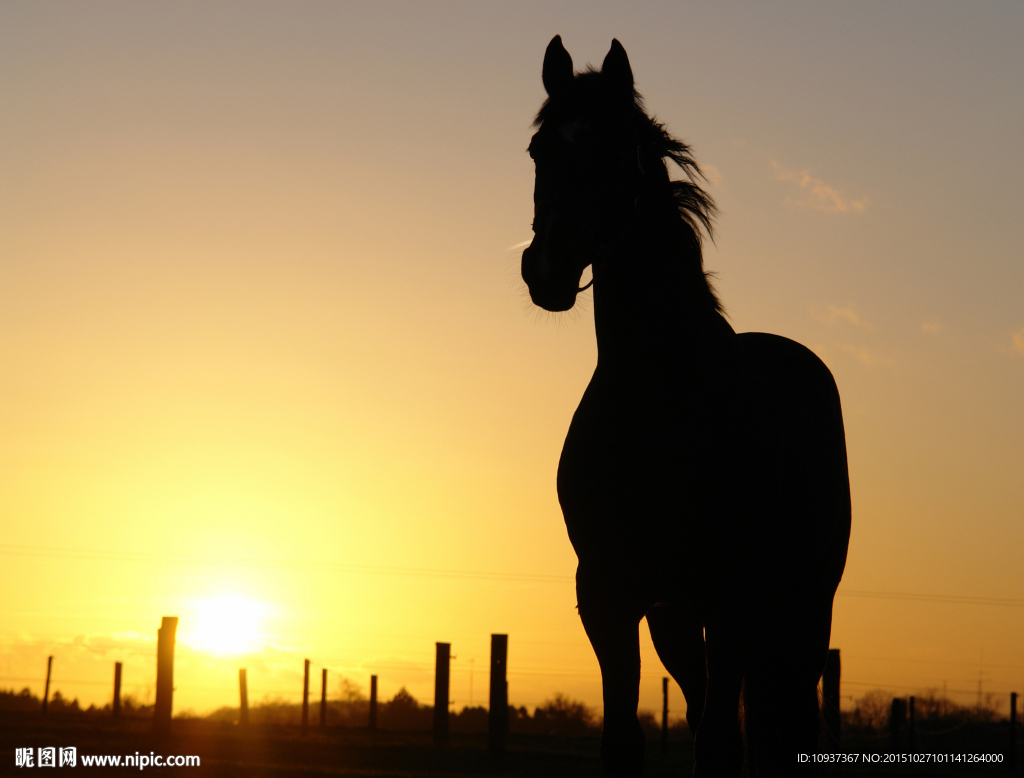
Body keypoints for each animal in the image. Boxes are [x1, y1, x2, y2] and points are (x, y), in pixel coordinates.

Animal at [520, 36, 851, 777]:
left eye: (617, 150)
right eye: (538, 150)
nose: (546, 269)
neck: (660, 404)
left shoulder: (732, 599)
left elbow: (719, 745)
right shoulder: (609, 596)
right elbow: (624, 740)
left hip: (802, 608)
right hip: (678, 616)